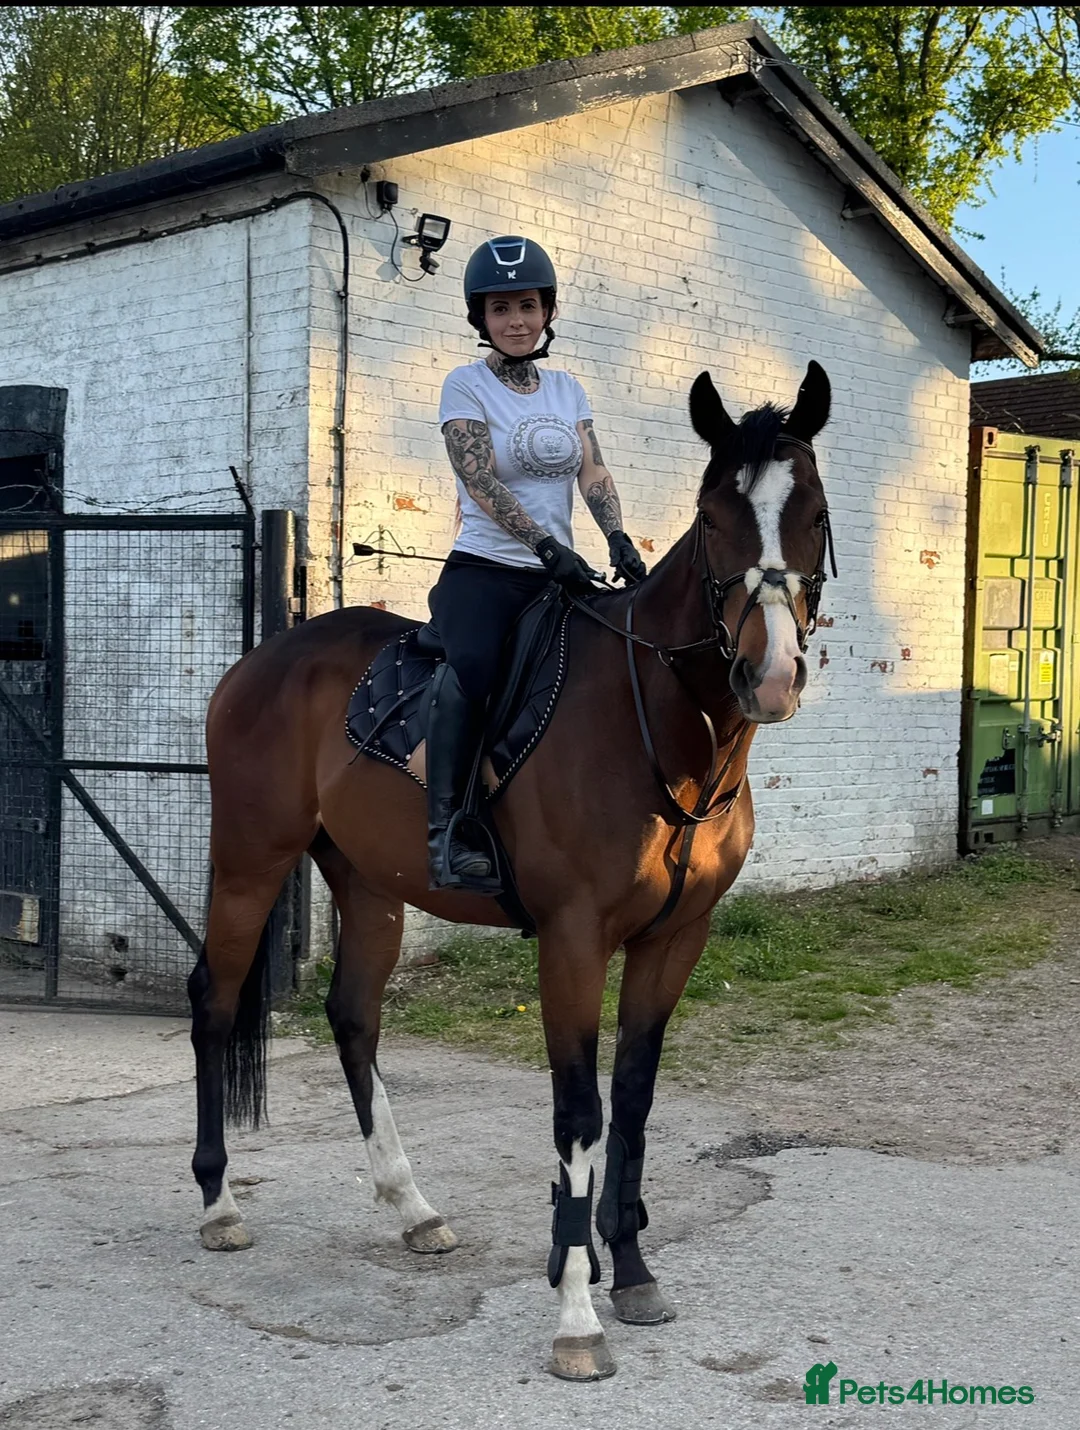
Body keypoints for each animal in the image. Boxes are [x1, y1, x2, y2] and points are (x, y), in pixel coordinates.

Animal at [188, 360, 834, 1381]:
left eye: (810, 511)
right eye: (714, 517)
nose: (768, 677)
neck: (657, 728)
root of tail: (263, 661)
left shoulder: (675, 939)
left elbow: (634, 1100)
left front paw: (631, 1269)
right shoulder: (572, 940)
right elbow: (579, 1112)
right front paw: (576, 1312)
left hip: (370, 888)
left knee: (353, 1019)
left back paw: (413, 1209)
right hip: (250, 863)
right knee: (213, 1005)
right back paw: (218, 1205)